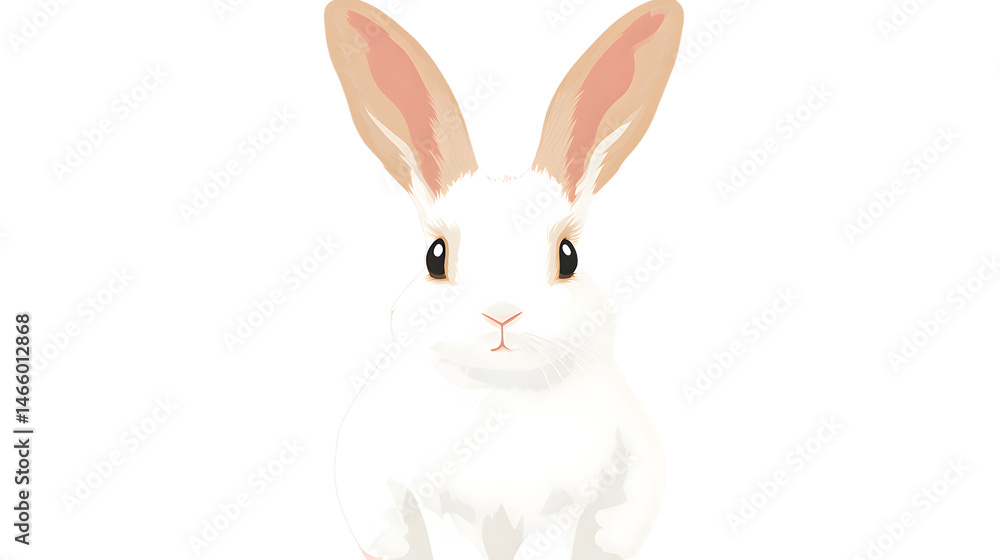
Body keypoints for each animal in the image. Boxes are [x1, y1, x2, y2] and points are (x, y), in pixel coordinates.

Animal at [324, 1, 683, 558]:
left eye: (568, 256)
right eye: (435, 256)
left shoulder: (566, 508)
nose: (501, 314)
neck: (501, 392)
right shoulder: (436, 507)